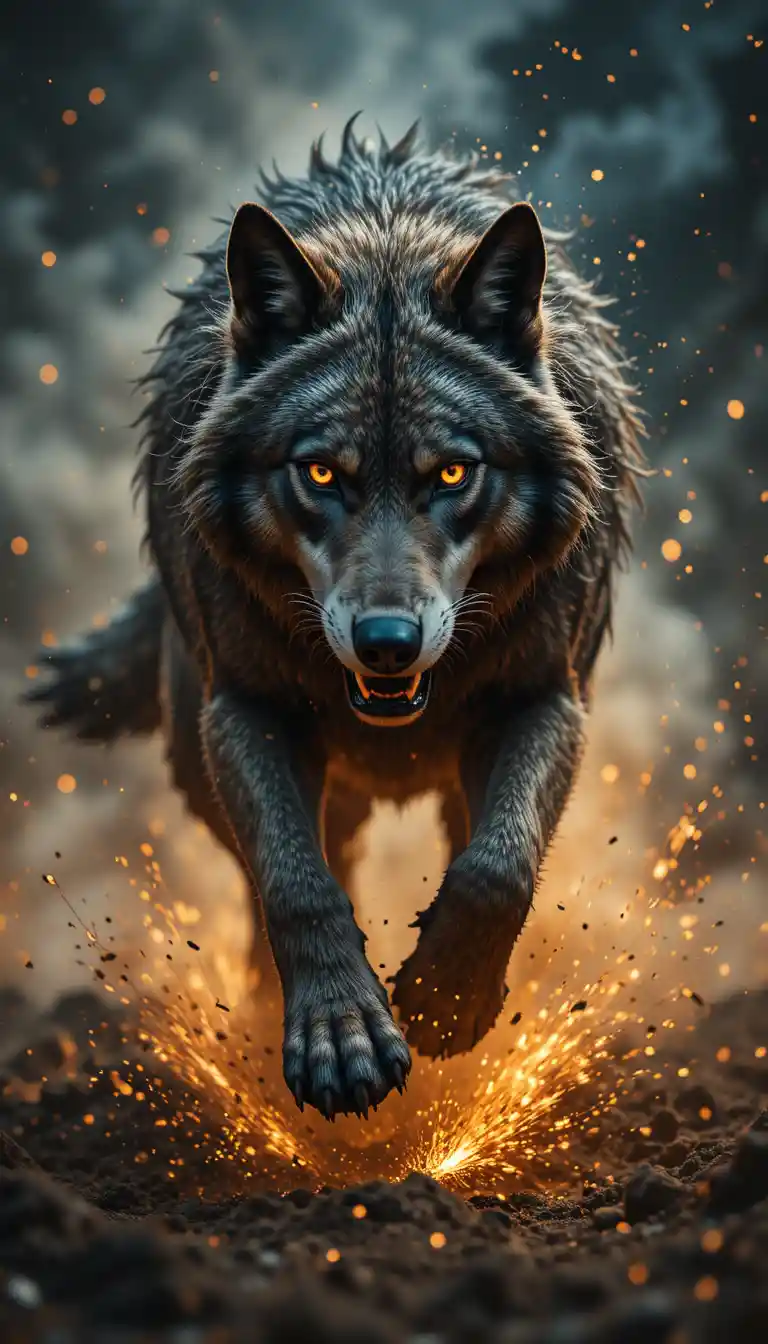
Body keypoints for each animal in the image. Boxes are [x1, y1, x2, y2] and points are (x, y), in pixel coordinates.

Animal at [27, 118, 644, 1120]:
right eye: (320, 473)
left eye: (452, 472)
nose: (386, 644)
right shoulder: (241, 710)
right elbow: (294, 880)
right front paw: (340, 1035)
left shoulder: (548, 697)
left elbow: (499, 865)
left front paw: (444, 1000)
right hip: (197, 748)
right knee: (293, 868)